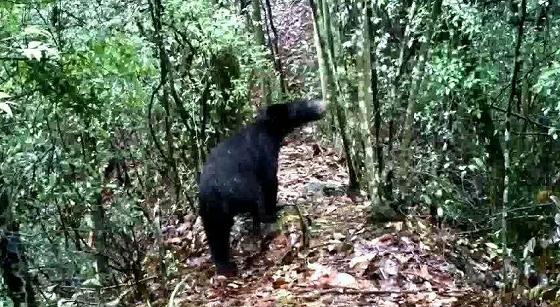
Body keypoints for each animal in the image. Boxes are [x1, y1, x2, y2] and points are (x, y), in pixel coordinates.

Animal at [198, 98, 326, 276]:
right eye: (298, 106)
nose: (320, 105)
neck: (267, 128)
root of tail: (213, 192)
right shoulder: (265, 155)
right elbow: (270, 181)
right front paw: (275, 211)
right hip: (241, 190)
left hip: (209, 212)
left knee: (215, 235)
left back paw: (225, 265)